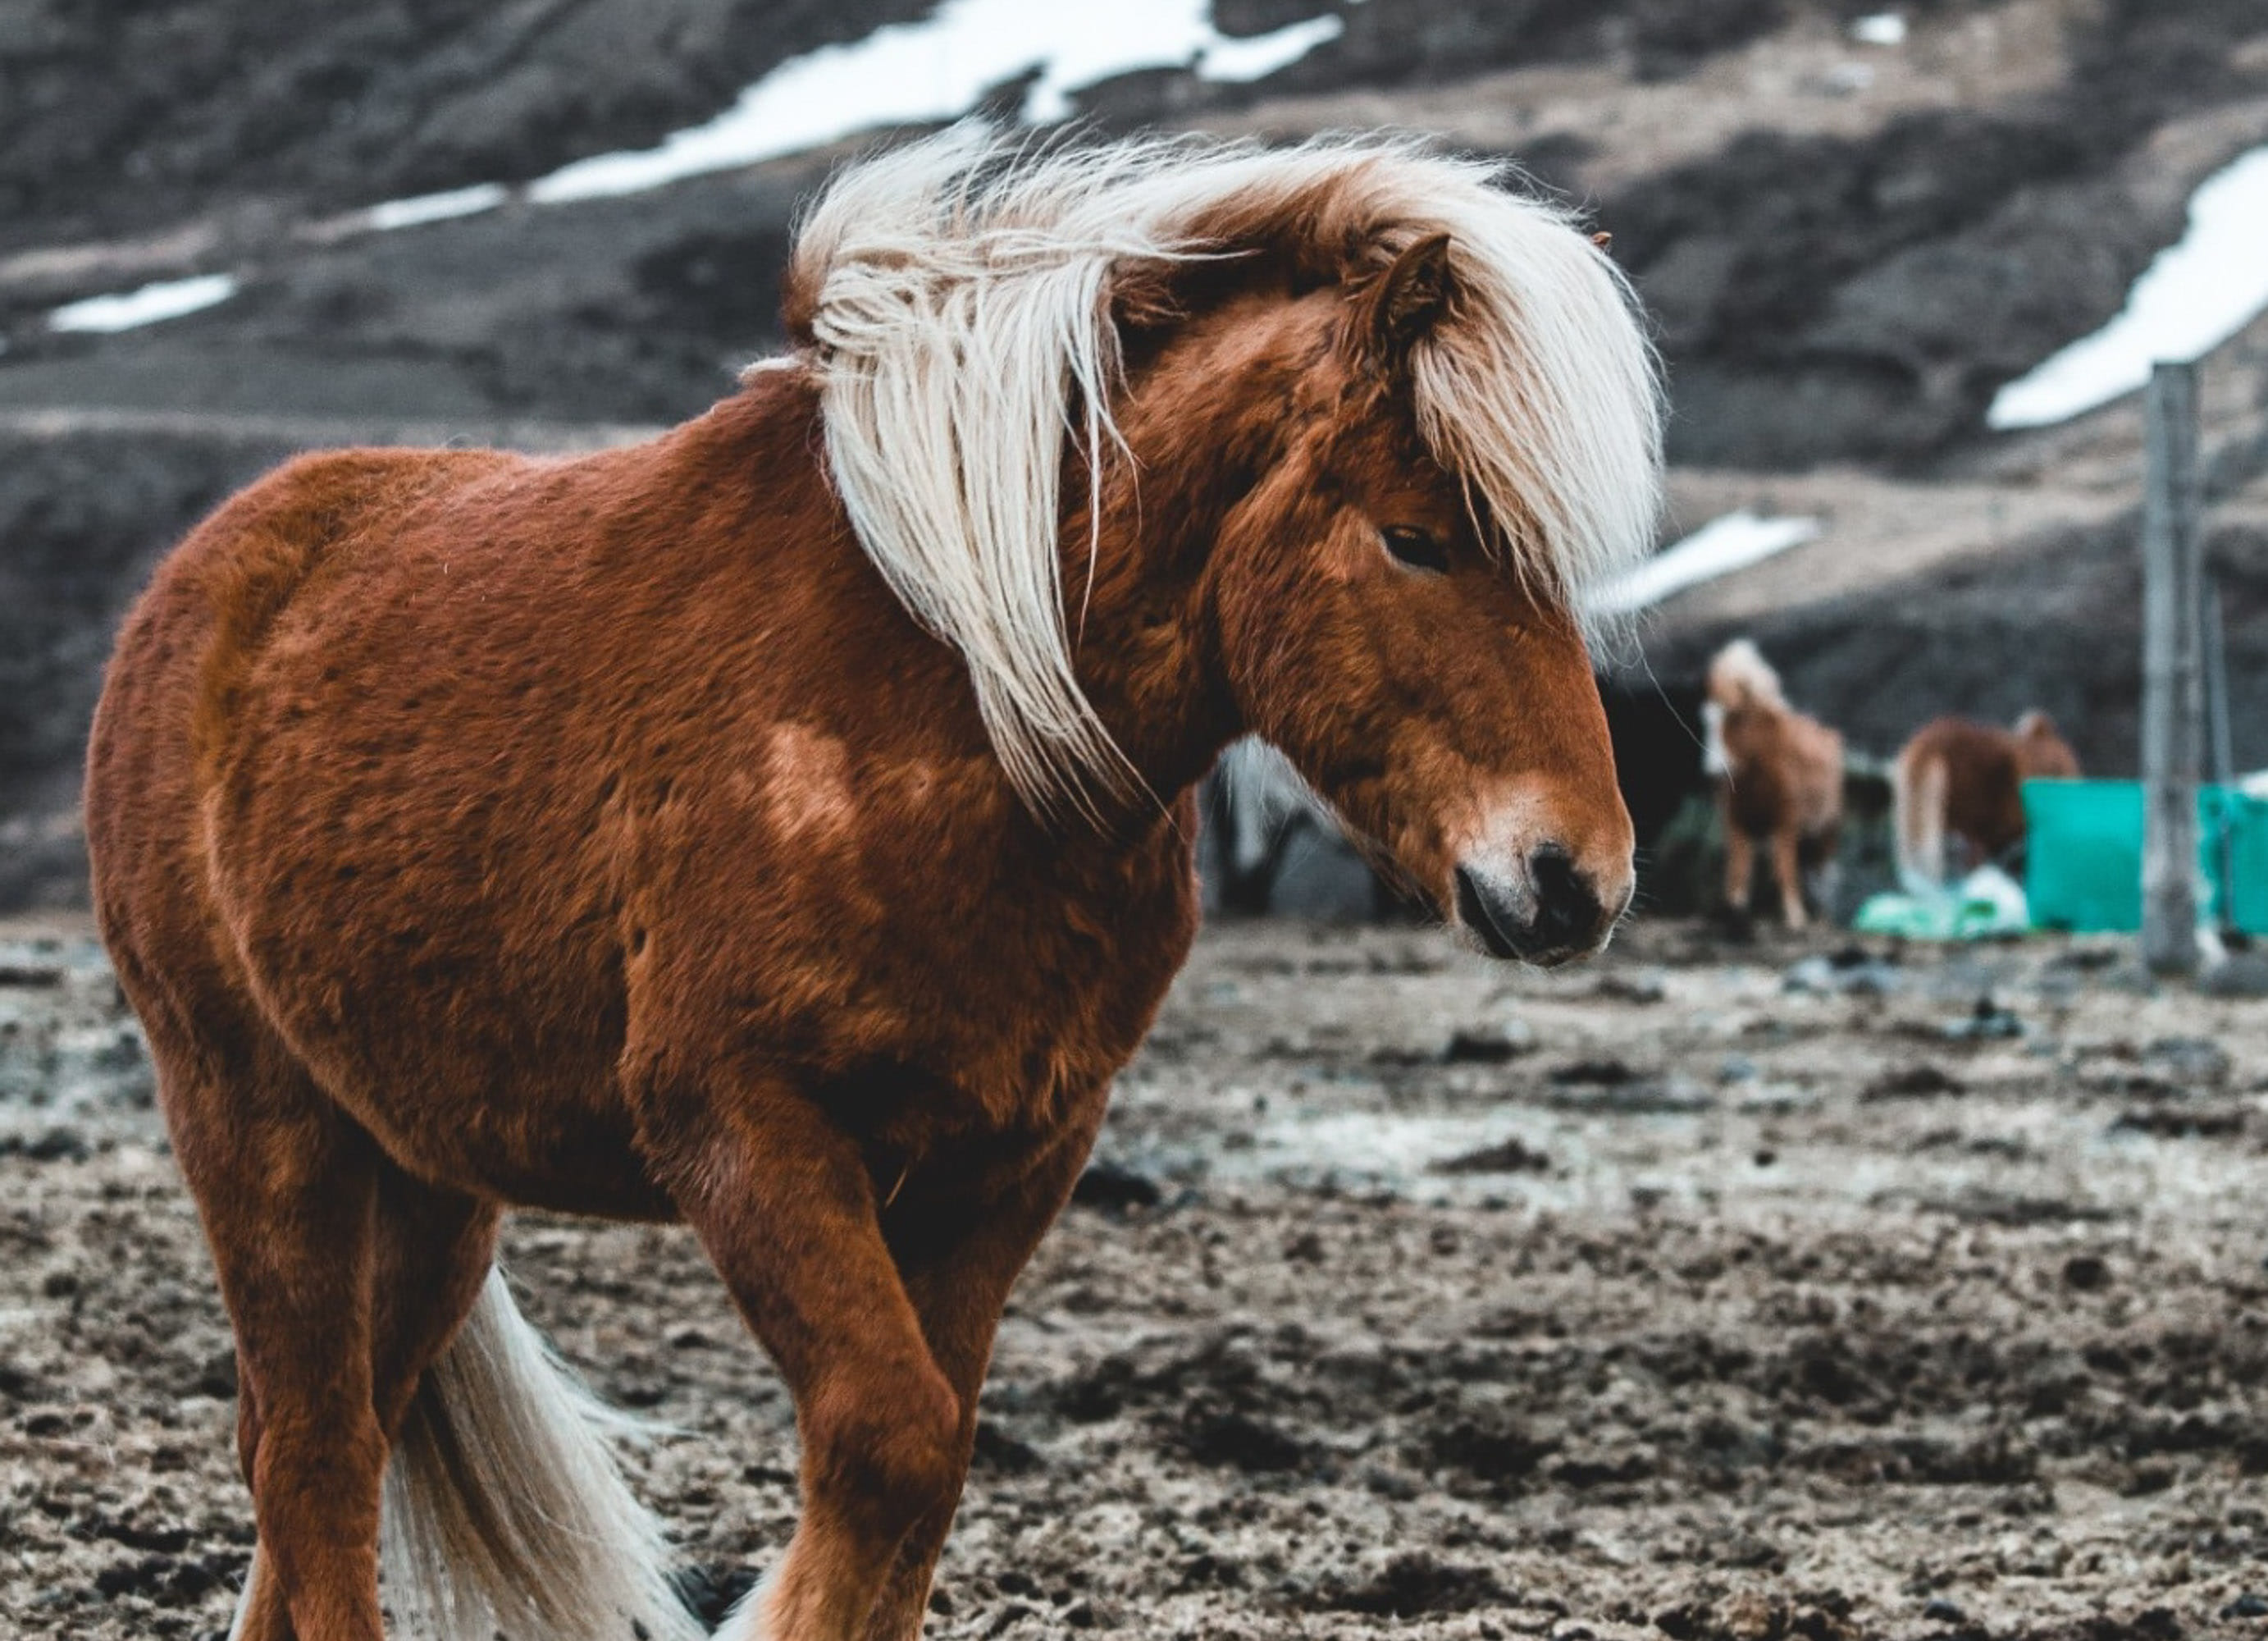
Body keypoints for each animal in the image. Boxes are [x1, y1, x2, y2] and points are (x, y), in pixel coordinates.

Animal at [83, 124, 1662, 1641]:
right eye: (1414, 537)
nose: (1573, 879)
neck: (961, 705)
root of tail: (203, 579)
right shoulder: (745, 1125)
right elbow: (889, 1443)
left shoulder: (1011, 1157)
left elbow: (932, 1455)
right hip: (255, 1121)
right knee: (311, 1449)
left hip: (425, 1181)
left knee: (325, 1443)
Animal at [1704, 638, 1843, 929]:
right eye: (1706, 718)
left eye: (1736, 716)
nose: (1710, 771)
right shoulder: (1736, 823)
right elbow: (1738, 871)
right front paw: (1734, 913)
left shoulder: (1786, 823)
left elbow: (1785, 869)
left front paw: (1795, 919)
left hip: (1826, 830)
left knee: (1825, 874)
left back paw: (1822, 918)